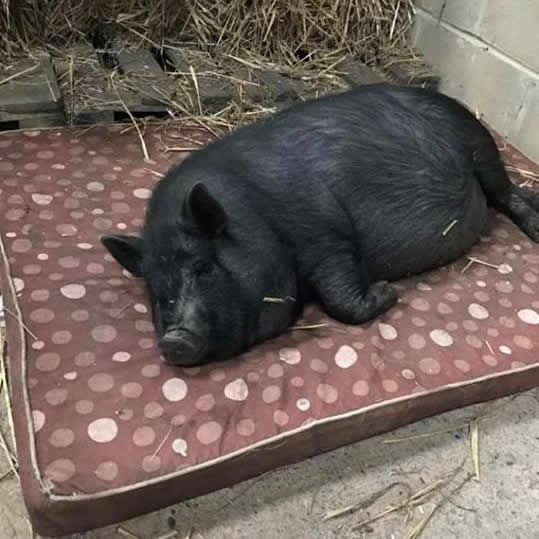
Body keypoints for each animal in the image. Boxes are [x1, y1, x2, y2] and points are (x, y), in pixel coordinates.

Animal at [102, 84, 539, 368]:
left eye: (204, 267)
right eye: (156, 290)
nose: (174, 339)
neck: (257, 213)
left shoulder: (327, 234)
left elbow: (341, 296)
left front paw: (388, 291)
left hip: (479, 145)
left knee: (508, 194)